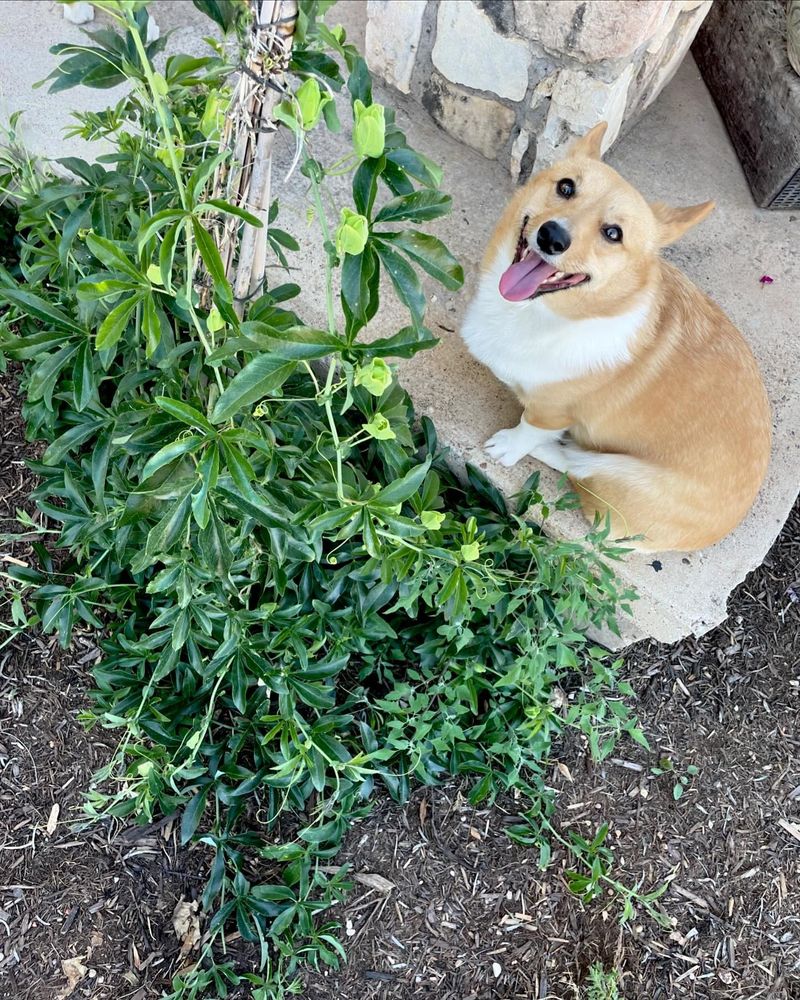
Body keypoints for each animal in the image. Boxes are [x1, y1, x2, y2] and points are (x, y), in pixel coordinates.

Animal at [460, 125, 772, 556]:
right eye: (567, 187)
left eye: (613, 234)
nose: (552, 236)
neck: (546, 313)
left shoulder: (552, 411)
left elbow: (530, 426)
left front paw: (509, 445)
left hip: (623, 474)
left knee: (579, 467)